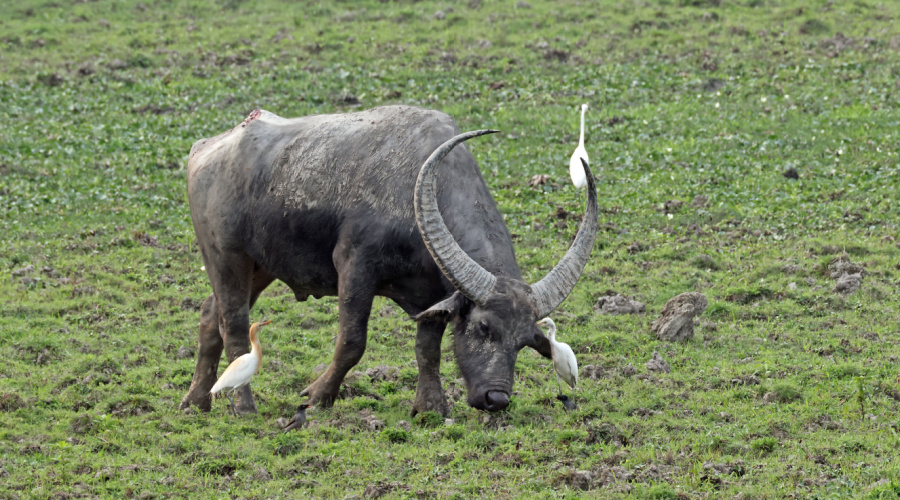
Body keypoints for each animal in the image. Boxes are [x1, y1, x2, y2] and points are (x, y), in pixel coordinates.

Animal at [180, 106, 596, 418]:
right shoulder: (355, 267)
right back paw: (244, 405)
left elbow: (427, 348)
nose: (496, 399)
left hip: (260, 266)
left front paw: (430, 406)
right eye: (483, 327)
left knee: (208, 315)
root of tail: (206, 148)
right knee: (234, 326)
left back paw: (196, 400)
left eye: (525, 341)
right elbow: (352, 341)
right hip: (225, 256)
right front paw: (318, 396)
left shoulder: (434, 294)